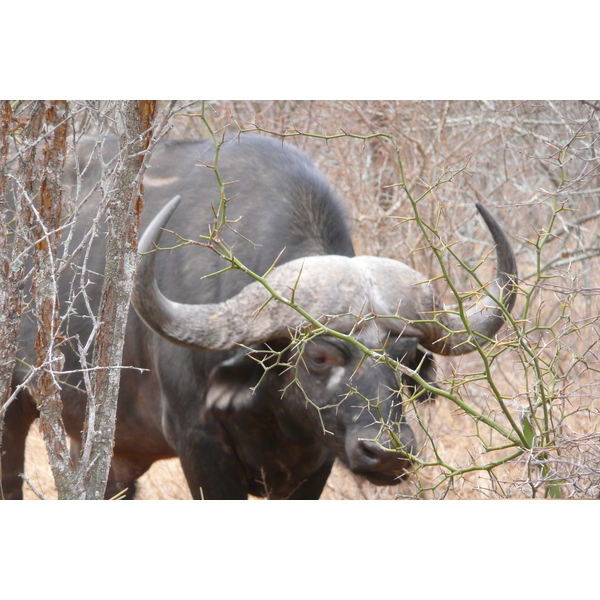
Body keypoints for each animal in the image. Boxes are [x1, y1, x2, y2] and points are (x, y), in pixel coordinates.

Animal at [2, 134, 516, 500]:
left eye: (406, 358)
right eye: (320, 357)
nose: (386, 452)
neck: (270, 410)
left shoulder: (316, 462)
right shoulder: (201, 448)